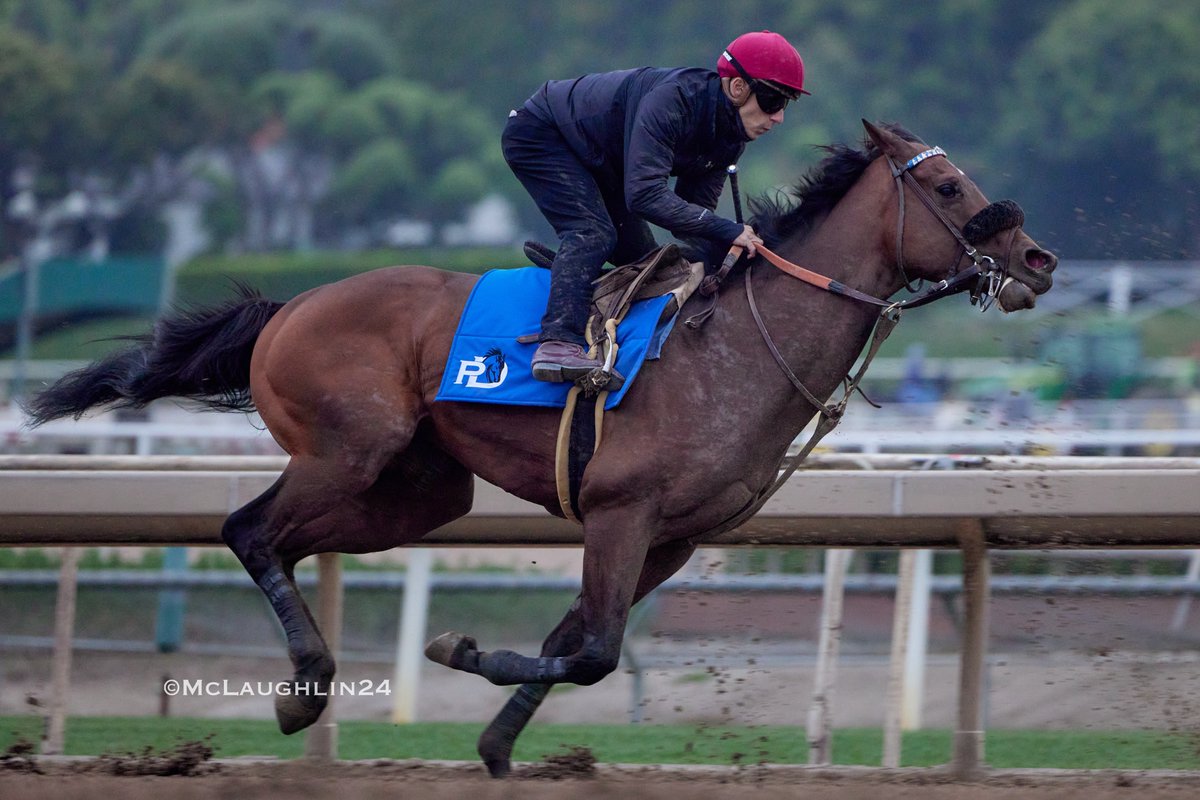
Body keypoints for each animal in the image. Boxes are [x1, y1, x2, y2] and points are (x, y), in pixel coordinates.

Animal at [23, 122, 1056, 777]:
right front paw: (457, 646)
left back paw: (301, 684)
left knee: (280, 538)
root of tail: (292, 303)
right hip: (345, 453)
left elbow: (576, 640)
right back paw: (304, 688)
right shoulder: (620, 511)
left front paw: (494, 747)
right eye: (950, 186)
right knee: (247, 528)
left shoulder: (670, 536)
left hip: (417, 494)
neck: (735, 346)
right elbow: (593, 653)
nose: (1038, 260)